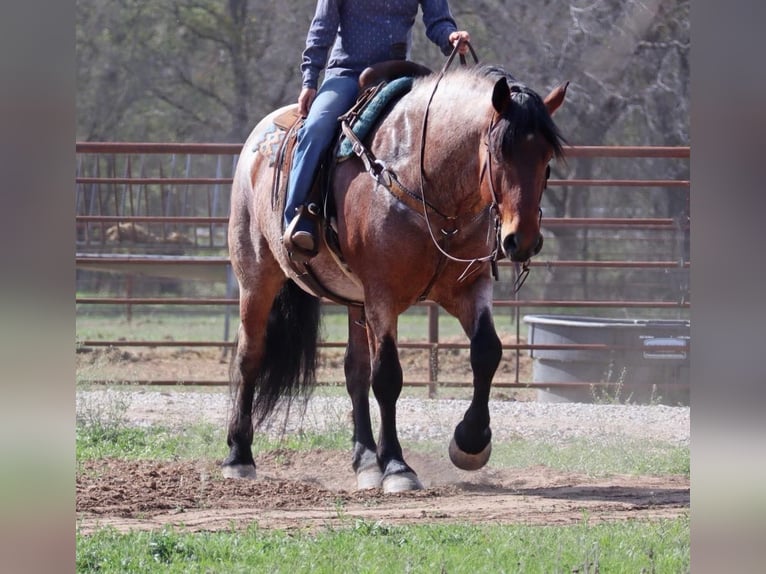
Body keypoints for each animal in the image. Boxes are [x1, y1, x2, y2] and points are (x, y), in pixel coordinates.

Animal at [219, 65, 568, 492]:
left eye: (547, 156)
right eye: (500, 151)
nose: (523, 240)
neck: (424, 182)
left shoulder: (467, 288)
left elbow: (487, 351)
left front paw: (470, 442)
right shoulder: (383, 297)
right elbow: (387, 376)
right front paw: (399, 467)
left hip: (355, 303)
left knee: (354, 371)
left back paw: (366, 461)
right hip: (256, 279)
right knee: (249, 357)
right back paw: (239, 456)